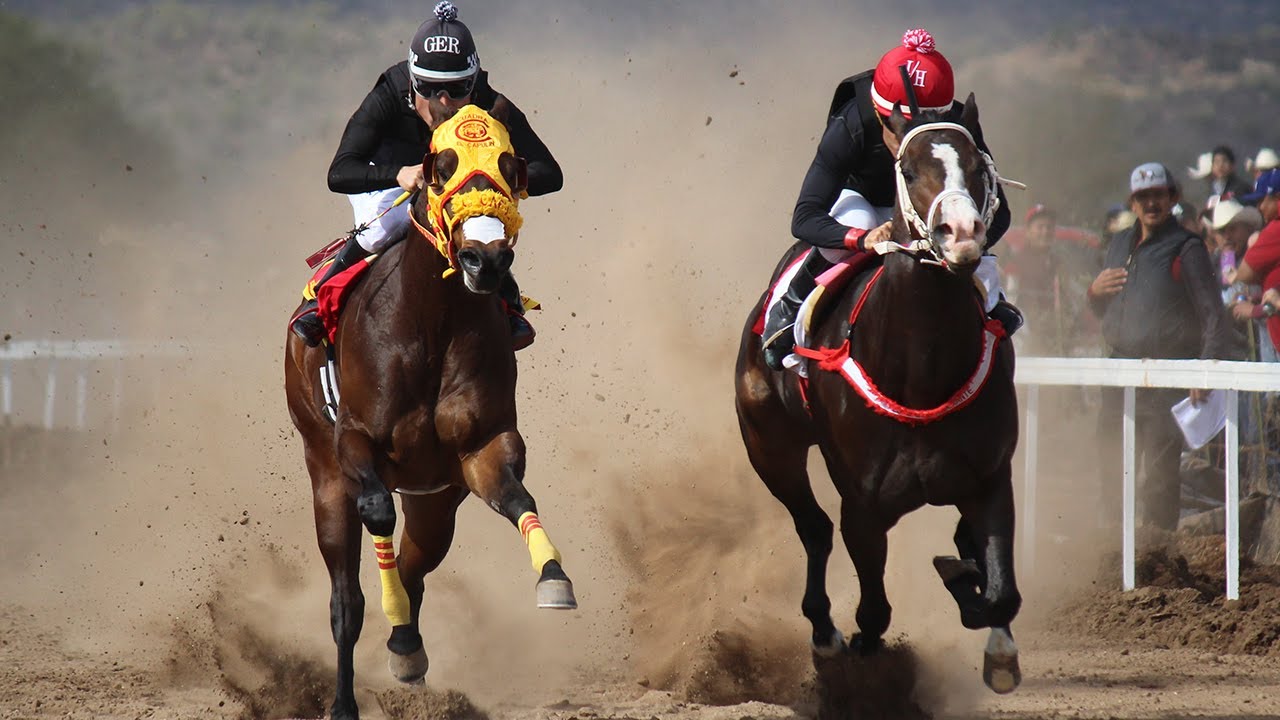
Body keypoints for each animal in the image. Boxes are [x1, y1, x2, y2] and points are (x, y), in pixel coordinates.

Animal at [284, 104, 576, 720]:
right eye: (440, 169)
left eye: (510, 165)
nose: (485, 260)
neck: (431, 322)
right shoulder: (354, 444)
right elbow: (376, 513)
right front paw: (390, 622)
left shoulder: (481, 447)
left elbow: (518, 498)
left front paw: (554, 577)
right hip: (323, 470)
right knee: (346, 599)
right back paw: (345, 698)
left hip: (435, 498)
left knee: (417, 563)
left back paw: (407, 649)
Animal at [734, 96, 1022, 696]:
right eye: (908, 171)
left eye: (979, 167)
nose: (962, 233)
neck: (923, 370)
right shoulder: (863, 508)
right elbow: (873, 615)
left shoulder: (989, 480)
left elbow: (1000, 593)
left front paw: (992, 634)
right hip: (769, 447)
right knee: (813, 528)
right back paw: (824, 633)